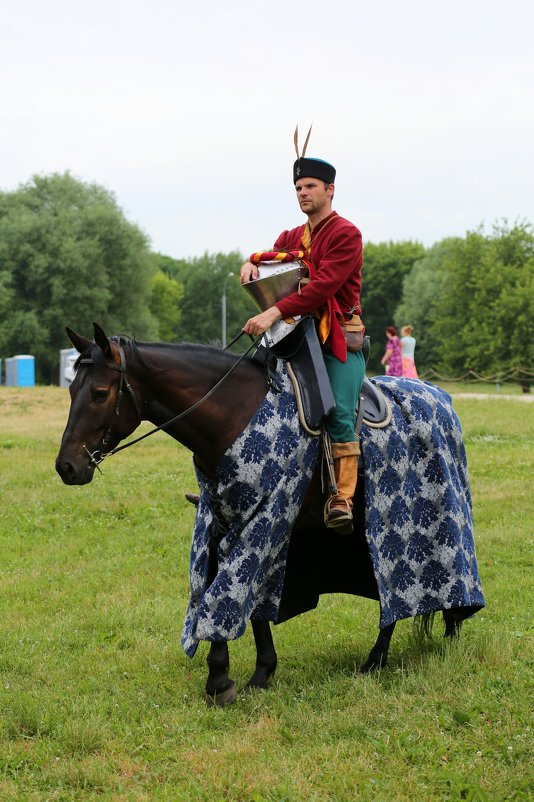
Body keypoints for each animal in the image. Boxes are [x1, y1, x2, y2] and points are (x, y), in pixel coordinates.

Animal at [56, 322, 468, 704]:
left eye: (100, 393)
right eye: (72, 390)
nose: (67, 467)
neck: (231, 414)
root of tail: (440, 396)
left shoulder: (264, 518)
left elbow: (234, 589)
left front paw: (222, 680)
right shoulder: (223, 521)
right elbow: (234, 591)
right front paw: (252, 673)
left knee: (397, 585)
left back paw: (376, 659)